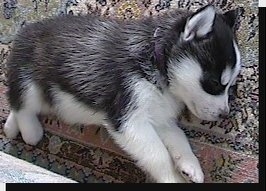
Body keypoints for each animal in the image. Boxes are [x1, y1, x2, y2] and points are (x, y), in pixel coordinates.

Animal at [3, 5, 241, 183]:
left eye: (230, 86)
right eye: (214, 83)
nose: (225, 115)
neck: (154, 60)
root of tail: (25, 29)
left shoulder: (159, 117)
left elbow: (178, 137)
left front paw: (191, 166)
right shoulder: (128, 118)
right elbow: (158, 155)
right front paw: (173, 178)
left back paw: (11, 125)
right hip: (27, 79)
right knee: (21, 103)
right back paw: (29, 131)